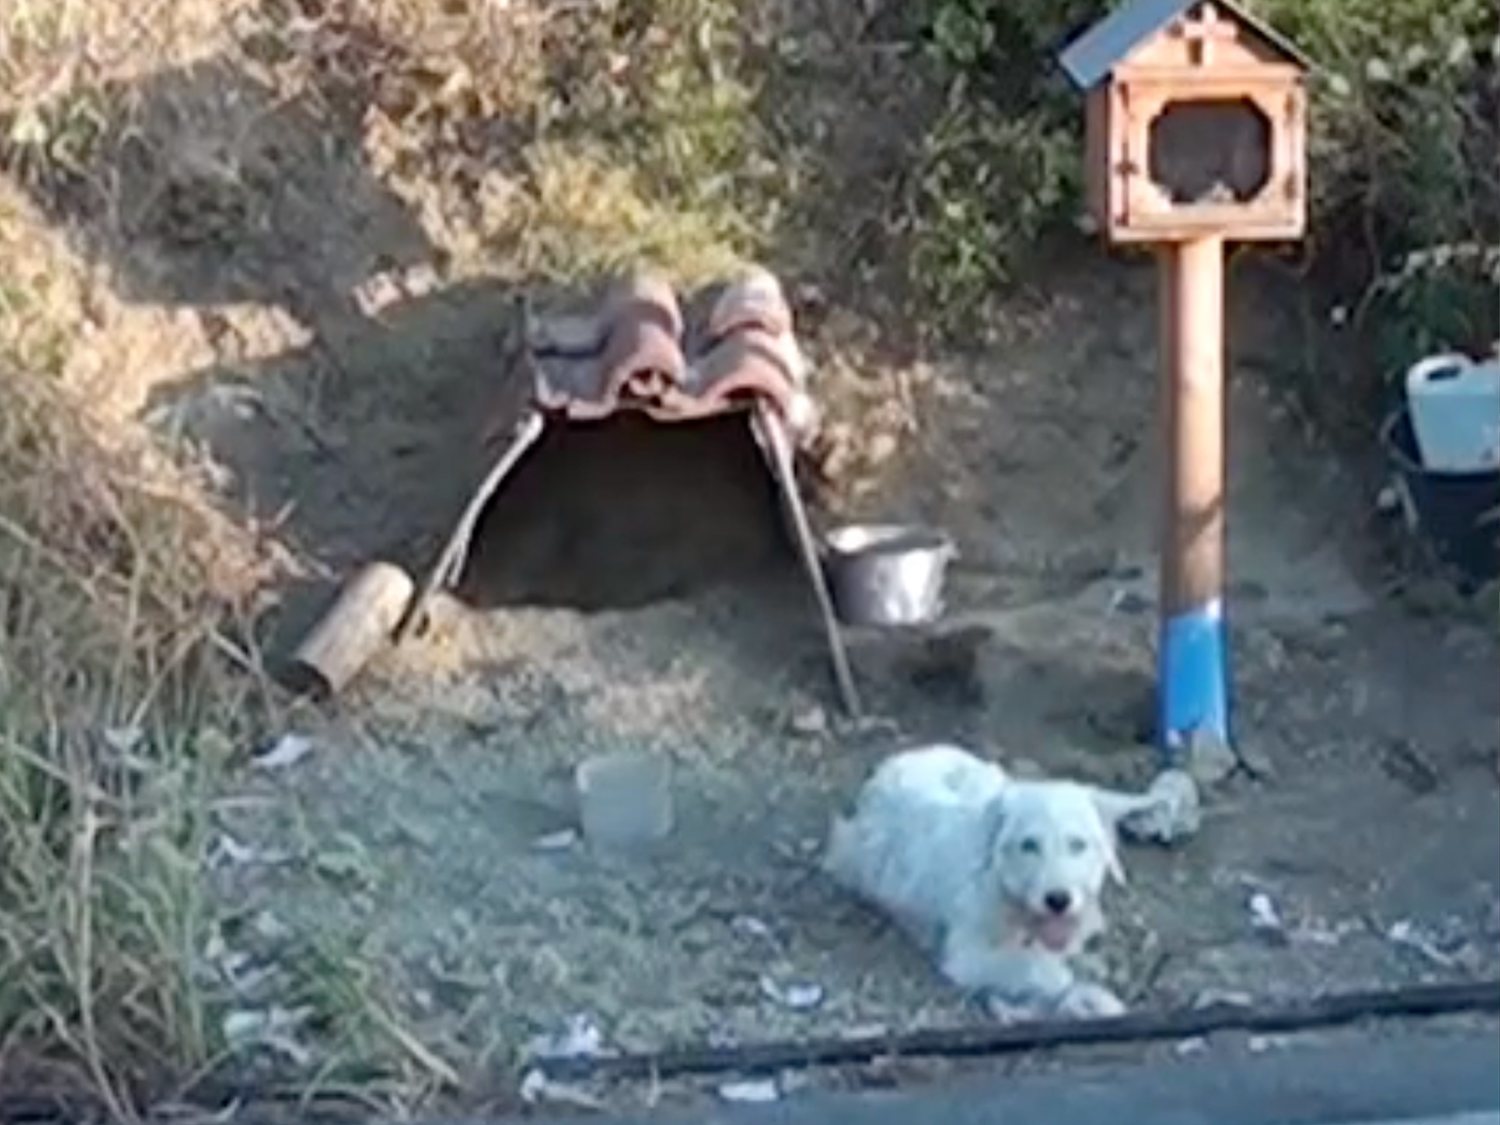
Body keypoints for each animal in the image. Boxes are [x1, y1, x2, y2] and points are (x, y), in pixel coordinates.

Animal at [822, 750, 1146, 1020]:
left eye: (1078, 844)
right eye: (1028, 845)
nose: (1058, 900)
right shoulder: (969, 957)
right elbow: (1042, 972)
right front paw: (1086, 997)